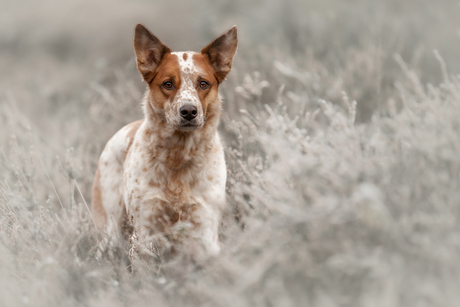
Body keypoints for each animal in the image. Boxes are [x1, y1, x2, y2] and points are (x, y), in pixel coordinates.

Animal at [92, 23, 239, 255]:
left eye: (203, 84)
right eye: (168, 84)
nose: (189, 111)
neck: (179, 153)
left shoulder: (206, 227)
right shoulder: (145, 228)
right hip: (111, 225)